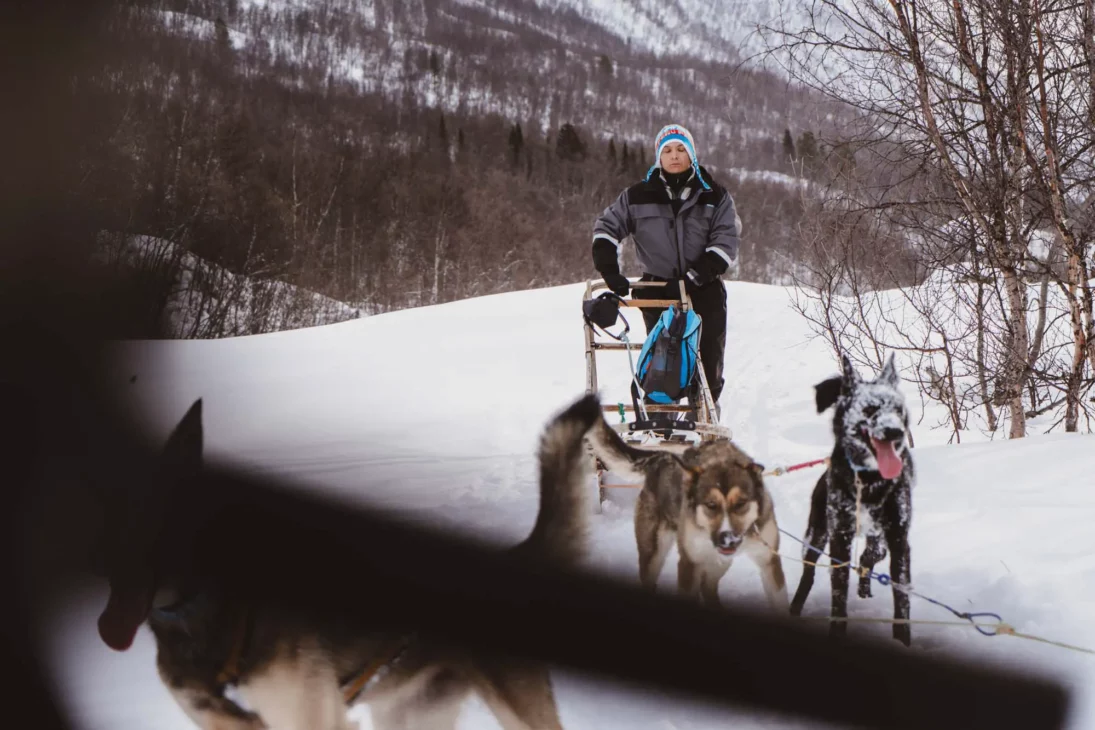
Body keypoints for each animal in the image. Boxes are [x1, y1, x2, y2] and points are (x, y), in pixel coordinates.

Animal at [586, 415, 784, 612]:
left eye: (741, 503)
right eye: (711, 505)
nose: (728, 539)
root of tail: (662, 457)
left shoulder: (769, 561)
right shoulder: (690, 564)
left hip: (719, 562)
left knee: (707, 586)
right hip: (653, 554)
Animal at [788, 354, 915, 643]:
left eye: (898, 409)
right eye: (869, 409)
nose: (896, 431)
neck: (869, 481)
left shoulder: (899, 540)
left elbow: (902, 597)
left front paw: (902, 641)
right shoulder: (840, 538)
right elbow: (838, 596)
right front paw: (837, 631)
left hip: (877, 539)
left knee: (870, 556)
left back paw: (865, 589)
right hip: (816, 535)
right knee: (808, 572)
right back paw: (795, 607)